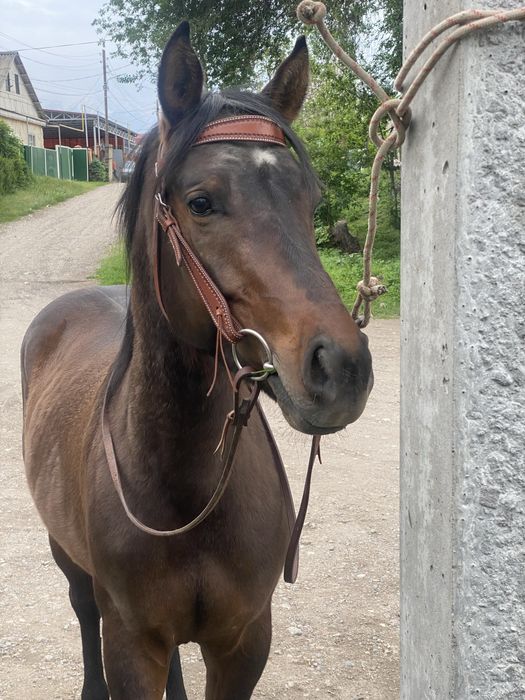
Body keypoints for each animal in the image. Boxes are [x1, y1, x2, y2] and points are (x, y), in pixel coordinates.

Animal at [21, 22, 373, 699]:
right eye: (201, 202)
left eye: (310, 200)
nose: (341, 368)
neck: (186, 492)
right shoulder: (130, 644)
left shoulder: (244, 641)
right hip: (66, 557)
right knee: (81, 607)